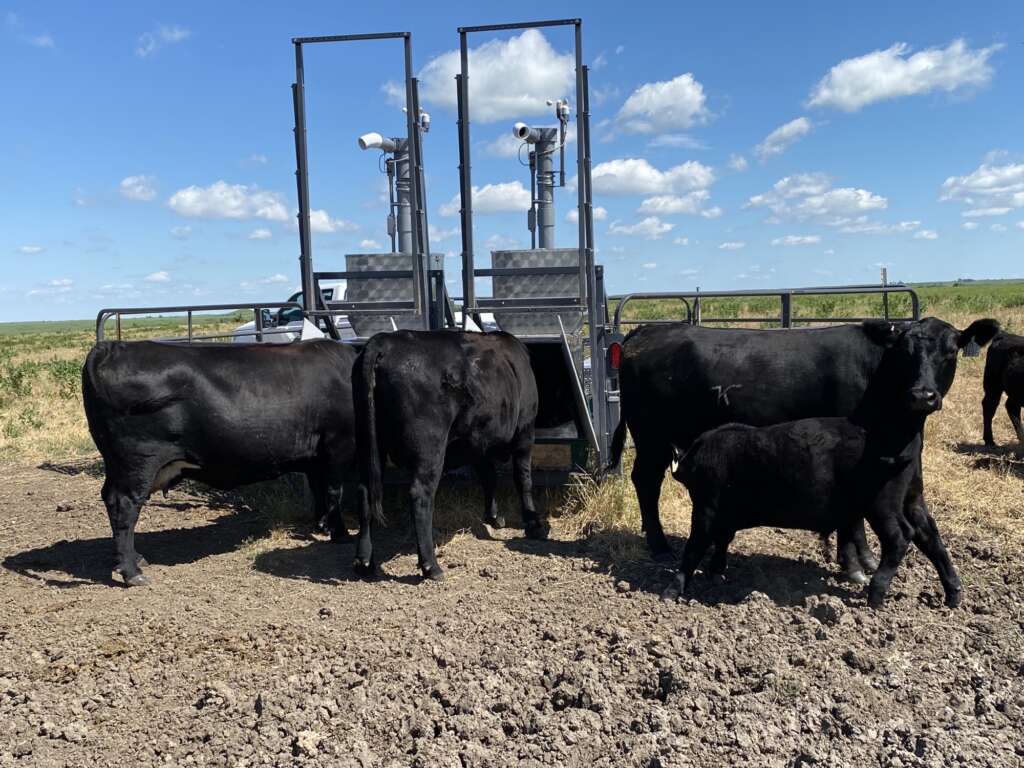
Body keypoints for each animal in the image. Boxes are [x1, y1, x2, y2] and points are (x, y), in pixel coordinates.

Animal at [81, 339, 358, 585]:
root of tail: (110, 348)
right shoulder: (338, 444)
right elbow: (334, 492)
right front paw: (340, 533)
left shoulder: (316, 457)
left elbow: (319, 490)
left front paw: (322, 525)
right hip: (138, 461)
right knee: (125, 504)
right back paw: (131, 571)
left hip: (117, 464)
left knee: (111, 499)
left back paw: (132, 558)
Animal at [350, 331, 544, 581]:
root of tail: (383, 341)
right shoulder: (525, 431)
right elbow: (523, 479)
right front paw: (533, 524)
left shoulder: (477, 441)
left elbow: (489, 477)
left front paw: (493, 516)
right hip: (430, 447)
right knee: (421, 496)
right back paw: (431, 566)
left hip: (368, 443)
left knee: (364, 491)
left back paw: (364, 562)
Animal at [606, 315, 999, 573]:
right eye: (905, 352)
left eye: (950, 353)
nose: (922, 395)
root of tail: (648, 330)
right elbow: (852, 514)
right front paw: (855, 563)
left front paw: (863, 559)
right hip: (652, 437)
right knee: (646, 482)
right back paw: (658, 546)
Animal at [667, 319, 970, 606]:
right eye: (906, 353)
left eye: (951, 351)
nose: (924, 396)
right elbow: (721, 540)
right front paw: (716, 572)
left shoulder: (706, 507)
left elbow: (694, 547)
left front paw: (674, 589)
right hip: (910, 496)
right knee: (928, 533)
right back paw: (953, 592)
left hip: (882, 504)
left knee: (900, 536)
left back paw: (875, 592)